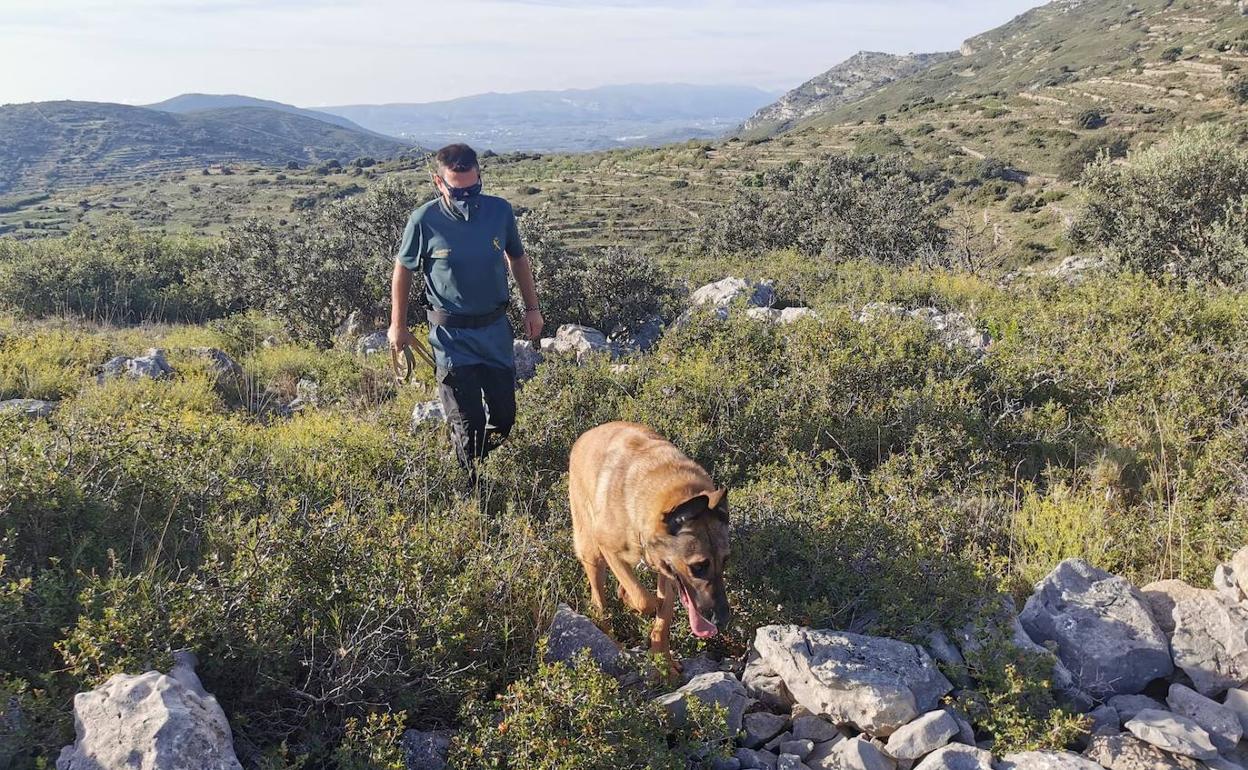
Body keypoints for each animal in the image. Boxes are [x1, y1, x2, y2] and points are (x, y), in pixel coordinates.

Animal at [569, 419, 728, 673]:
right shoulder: (609, 549)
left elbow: (663, 617)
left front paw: (663, 663)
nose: (722, 621)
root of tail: (586, 435)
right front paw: (636, 602)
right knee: (598, 602)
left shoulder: (668, 572)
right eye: (698, 566)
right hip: (592, 554)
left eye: (725, 560)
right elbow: (645, 600)